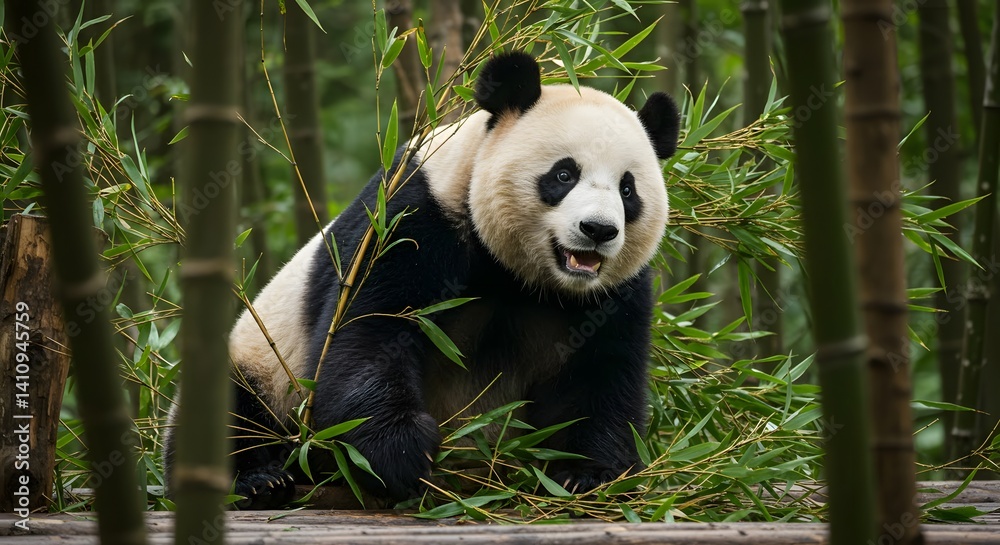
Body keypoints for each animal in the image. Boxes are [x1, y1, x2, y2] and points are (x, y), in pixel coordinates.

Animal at [164, 51, 680, 509]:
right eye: (564, 174)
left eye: (628, 189)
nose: (598, 230)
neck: (519, 275)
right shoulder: (412, 220)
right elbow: (368, 332)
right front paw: (403, 453)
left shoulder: (614, 293)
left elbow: (601, 377)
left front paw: (587, 476)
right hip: (260, 362)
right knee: (227, 410)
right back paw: (259, 481)